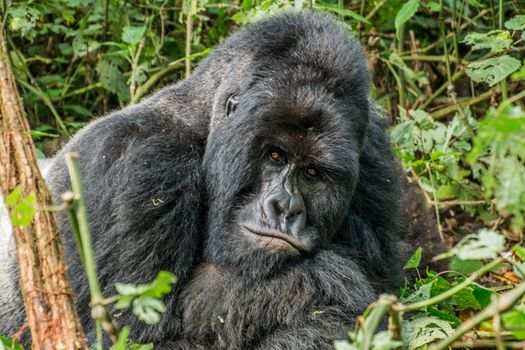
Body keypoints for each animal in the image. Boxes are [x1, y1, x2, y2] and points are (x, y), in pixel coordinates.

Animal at [1, 9, 426, 348]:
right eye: (274, 155)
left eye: (312, 173)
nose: (285, 208)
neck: (202, 120)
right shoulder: (140, 161)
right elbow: (132, 336)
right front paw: (323, 282)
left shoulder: (373, 157)